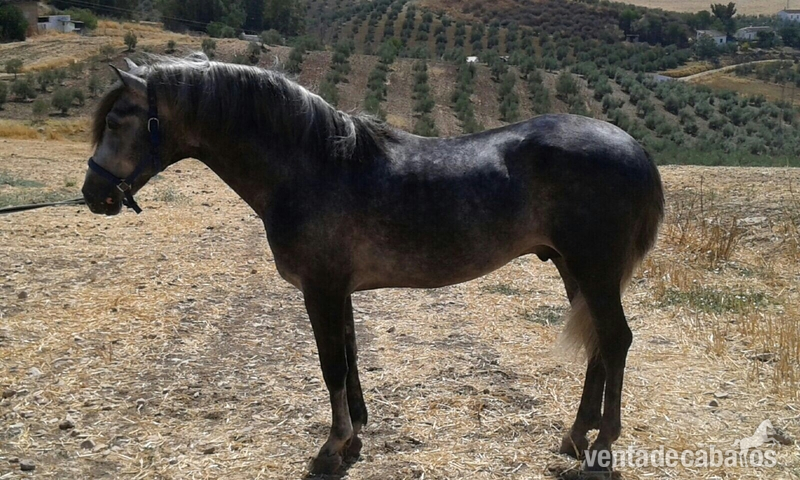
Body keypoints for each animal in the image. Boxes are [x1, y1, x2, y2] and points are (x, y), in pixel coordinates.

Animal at [81, 55, 664, 476]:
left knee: (615, 340)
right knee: (598, 343)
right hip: (573, 269)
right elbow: (351, 356)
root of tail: (636, 147)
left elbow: (331, 365)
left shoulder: (319, 289)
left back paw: (600, 446)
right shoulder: (338, 291)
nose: (93, 194)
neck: (313, 165)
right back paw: (575, 434)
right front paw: (356, 433)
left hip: (593, 269)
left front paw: (331, 447)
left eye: (115, 119)